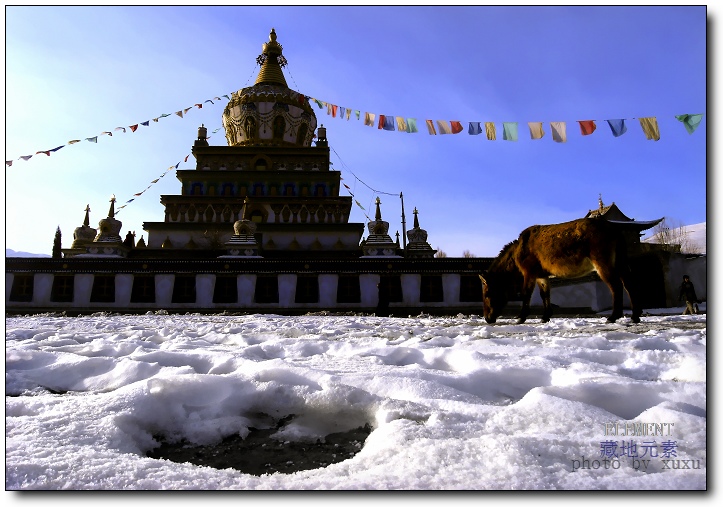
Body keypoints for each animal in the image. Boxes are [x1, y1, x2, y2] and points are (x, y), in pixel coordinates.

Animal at [484, 218, 640, 326]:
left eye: (486, 294)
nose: (487, 318)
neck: (517, 254)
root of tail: (616, 231)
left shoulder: (529, 272)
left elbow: (526, 294)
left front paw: (521, 317)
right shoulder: (542, 275)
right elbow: (545, 294)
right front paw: (545, 317)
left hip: (603, 262)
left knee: (616, 286)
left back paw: (613, 316)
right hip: (620, 262)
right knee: (629, 285)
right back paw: (635, 316)